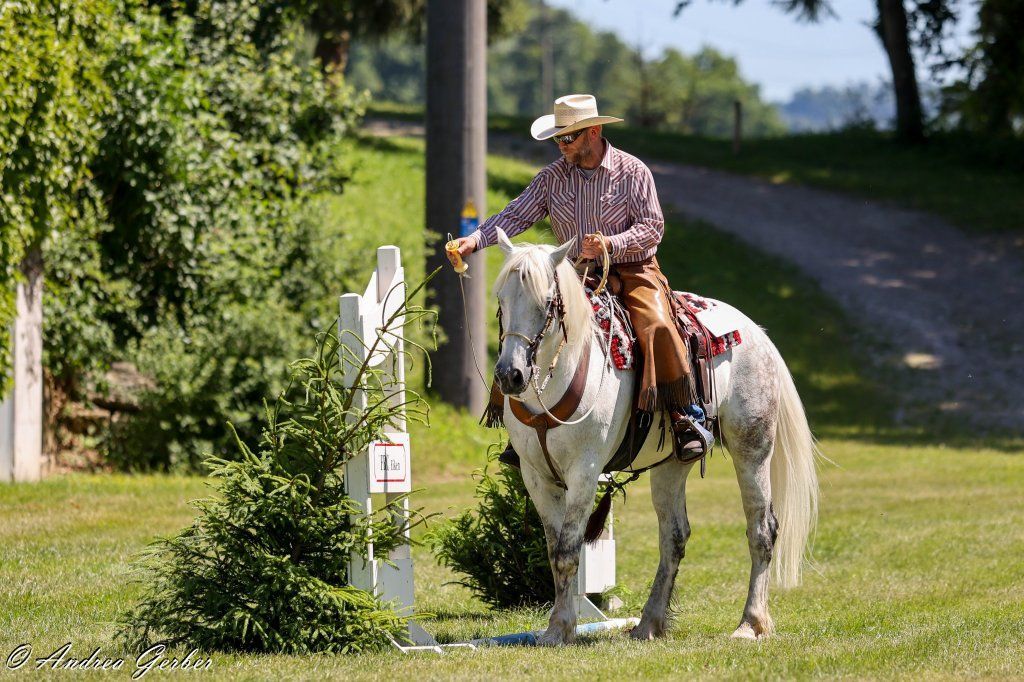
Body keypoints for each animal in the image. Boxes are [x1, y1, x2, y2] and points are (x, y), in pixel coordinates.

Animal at [491, 228, 820, 645]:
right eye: (501, 300)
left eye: (547, 302)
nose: (510, 375)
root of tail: (755, 332)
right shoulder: (536, 477)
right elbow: (554, 551)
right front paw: (556, 627)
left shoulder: (584, 472)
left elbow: (567, 550)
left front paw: (562, 628)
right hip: (672, 463)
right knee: (674, 537)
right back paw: (650, 622)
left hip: (752, 449)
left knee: (761, 530)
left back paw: (750, 623)